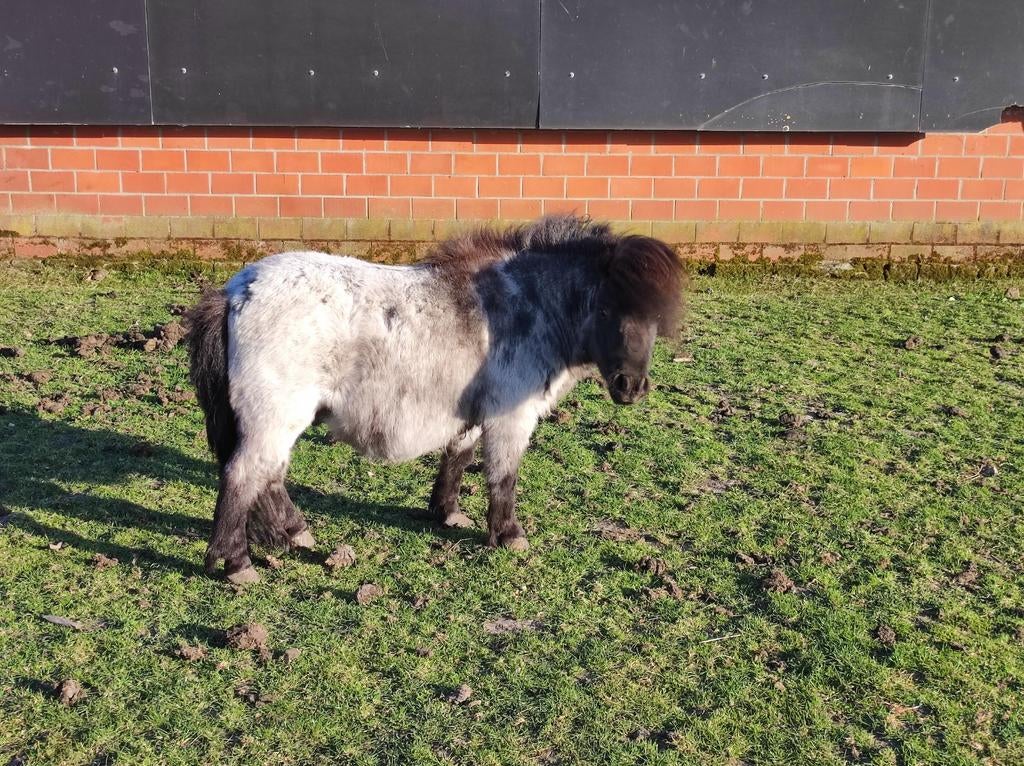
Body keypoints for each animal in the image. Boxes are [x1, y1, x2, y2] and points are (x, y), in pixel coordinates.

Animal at [185, 214, 684, 583]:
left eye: (655, 317)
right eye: (606, 308)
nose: (632, 387)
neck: (528, 305)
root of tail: (234, 292)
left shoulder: (474, 414)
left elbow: (457, 458)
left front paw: (447, 514)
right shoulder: (511, 419)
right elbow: (503, 477)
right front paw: (509, 535)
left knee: (268, 477)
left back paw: (294, 534)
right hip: (276, 417)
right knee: (243, 476)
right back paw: (236, 563)